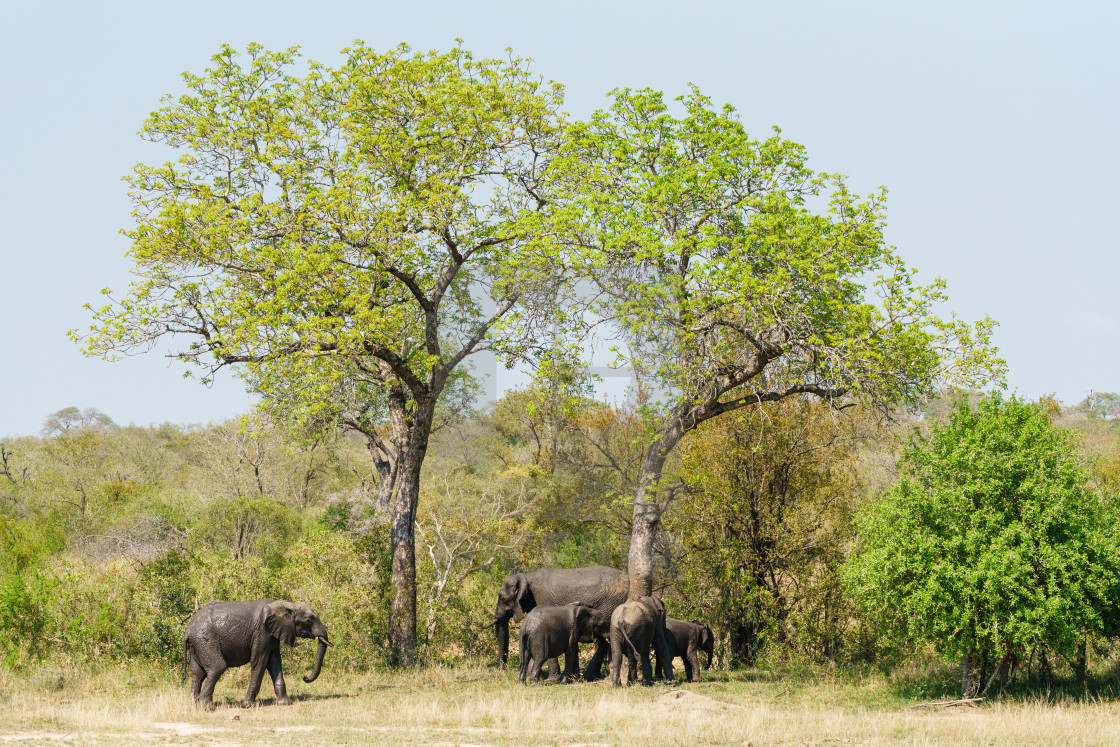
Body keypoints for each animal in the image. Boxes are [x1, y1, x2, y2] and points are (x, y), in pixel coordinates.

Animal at [183, 600, 329, 712]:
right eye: (309, 619)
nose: (305, 677)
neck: (287, 604)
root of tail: (188, 629)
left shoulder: (273, 634)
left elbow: (275, 663)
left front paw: (285, 703)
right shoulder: (262, 632)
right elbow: (260, 662)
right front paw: (247, 706)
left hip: (198, 645)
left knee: (197, 674)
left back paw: (192, 705)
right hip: (205, 641)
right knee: (217, 668)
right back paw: (207, 708)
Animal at [492, 566, 631, 685]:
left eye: (503, 599)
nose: (503, 670)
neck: (526, 577)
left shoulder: (542, 599)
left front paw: (551, 679)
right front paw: (572, 678)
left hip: (609, 605)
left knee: (602, 642)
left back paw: (589, 676)